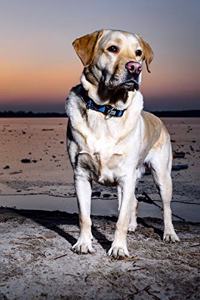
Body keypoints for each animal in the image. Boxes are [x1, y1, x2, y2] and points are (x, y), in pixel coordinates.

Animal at [66, 29, 180, 258]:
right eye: (112, 48)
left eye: (138, 53)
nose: (135, 67)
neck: (106, 111)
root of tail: (159, 119)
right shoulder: (81, 176)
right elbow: (85, 217)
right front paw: (84, 243)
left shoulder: (126, 178)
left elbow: (120, 220)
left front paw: (118, 247)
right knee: (133, 202)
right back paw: (133, 225)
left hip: (162, 177)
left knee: (166, 208)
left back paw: (169, 233)